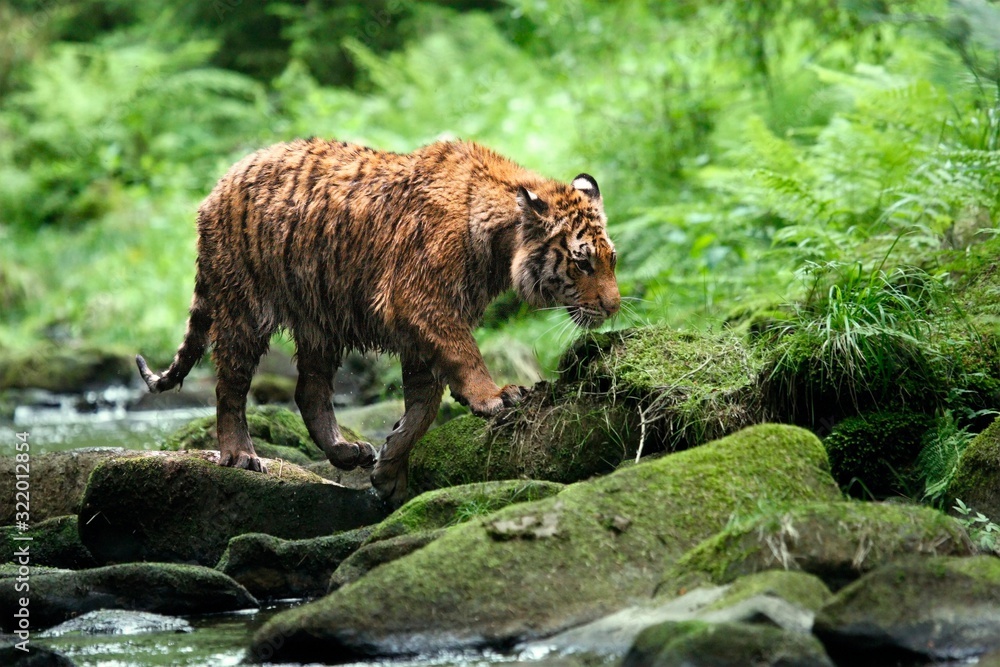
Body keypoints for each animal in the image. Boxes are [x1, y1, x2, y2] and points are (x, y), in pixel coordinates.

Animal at [136, 138, 620, 503]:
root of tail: (220, 183)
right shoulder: (421, 300)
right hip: (243, 308)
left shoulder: (422, 328)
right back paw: (239, 456)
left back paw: (346, 452)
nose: (614, 307)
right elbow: (464, 356)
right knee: (230, 388)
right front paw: (495, 396)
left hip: (320, 320)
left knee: (309, 390)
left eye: (611, 259)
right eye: (582, 263)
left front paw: (388, 469)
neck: (500, 244)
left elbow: (423, 407)